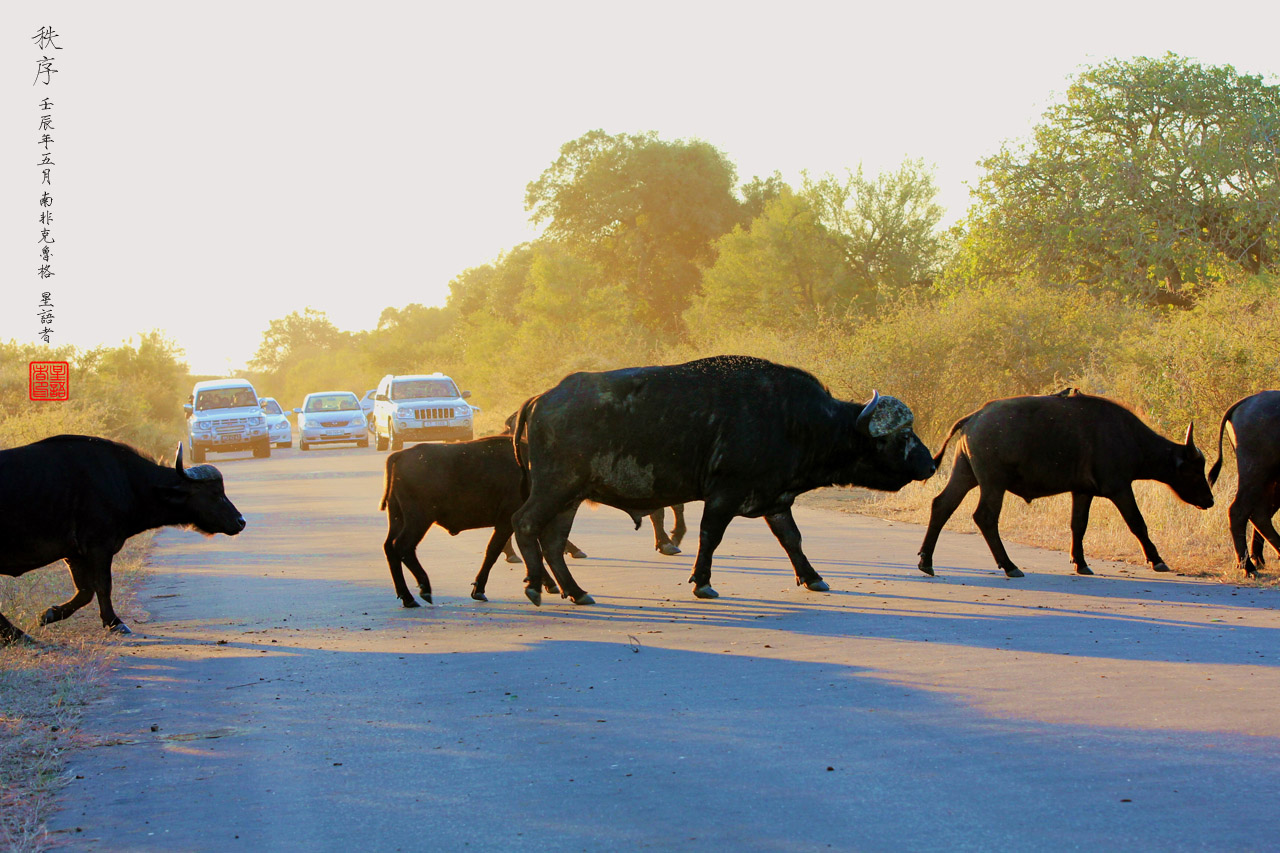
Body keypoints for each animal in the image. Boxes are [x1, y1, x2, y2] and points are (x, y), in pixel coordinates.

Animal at [0, 435, 244, 640]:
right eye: (215, 493)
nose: (241, 521)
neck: (126, 480)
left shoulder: (74, 555)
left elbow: (85, 591)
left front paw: (49, 614)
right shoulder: (99, 546)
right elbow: (103, 586)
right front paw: (115, 623)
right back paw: (17, 635)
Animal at [509, 356, 942, 601]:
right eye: (900, 436)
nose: (930, 465)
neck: (794, 420)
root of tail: (541, 398)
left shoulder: (776, 501)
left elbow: (792, 540)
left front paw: (813, 578)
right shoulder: (723, 496)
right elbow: (710, 537)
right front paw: (702, 582)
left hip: (570, 498)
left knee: (553, 542)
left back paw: (576, 591)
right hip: (556, 488)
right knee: (524, 523)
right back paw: (534, 586)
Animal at [921, 386, 1208, 573]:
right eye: (1195, 470)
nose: (1210, 500)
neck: (1129, 437)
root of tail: (975, 416)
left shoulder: (1082, 491)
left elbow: (1078, 525)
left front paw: (1080, 563)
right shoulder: (1120, 488)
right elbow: (1137, 523)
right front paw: (1156, 559)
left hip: (965, 474)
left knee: (942, 505)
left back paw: (926, 561)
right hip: (993, 484)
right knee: (985, 517)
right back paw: (1009, 565)